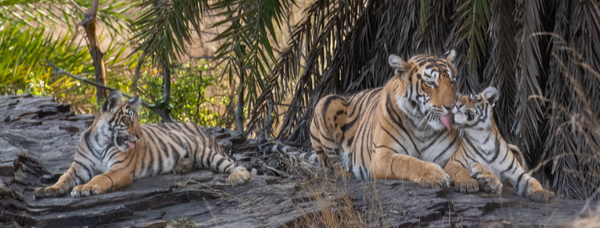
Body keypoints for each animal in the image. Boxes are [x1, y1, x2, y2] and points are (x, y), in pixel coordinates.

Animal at [35, 90, 251, 199]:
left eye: (138, 121)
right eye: (127, 120)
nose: (139, 136)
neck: (102, 142)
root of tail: (202, 129)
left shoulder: (120, 169)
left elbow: (101, 177)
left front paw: (84, 188)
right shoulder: (79, 167)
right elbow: (63, 177)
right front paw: (48, 189)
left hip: (206, 152)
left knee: (238, 166)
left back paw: (237, 177)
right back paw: (182, 167)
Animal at [310, 50, 460, 187]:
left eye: (453, 82)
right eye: (430, 83)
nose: (452, 107)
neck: (422, 127)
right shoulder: (382, 156)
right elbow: (408, 163)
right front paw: (436, 175)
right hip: (326, 101)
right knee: (331, 164)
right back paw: (346, 174)